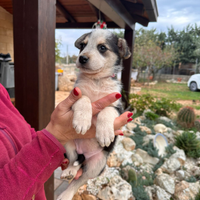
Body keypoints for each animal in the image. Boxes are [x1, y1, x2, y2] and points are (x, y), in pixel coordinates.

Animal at [56, 29, 131, 200]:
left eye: (102, 48)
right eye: (83, 46)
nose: (81, 58)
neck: (96, 80)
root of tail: (85, 154)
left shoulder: (117, 107)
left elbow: (106, 110)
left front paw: (104, 133)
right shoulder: (74, 96)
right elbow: (84, 99)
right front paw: (82, 121)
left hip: (98, 164)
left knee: (81, 178)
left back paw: (67, 193)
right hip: (68, 144)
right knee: (75, 163)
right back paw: (69, 172)